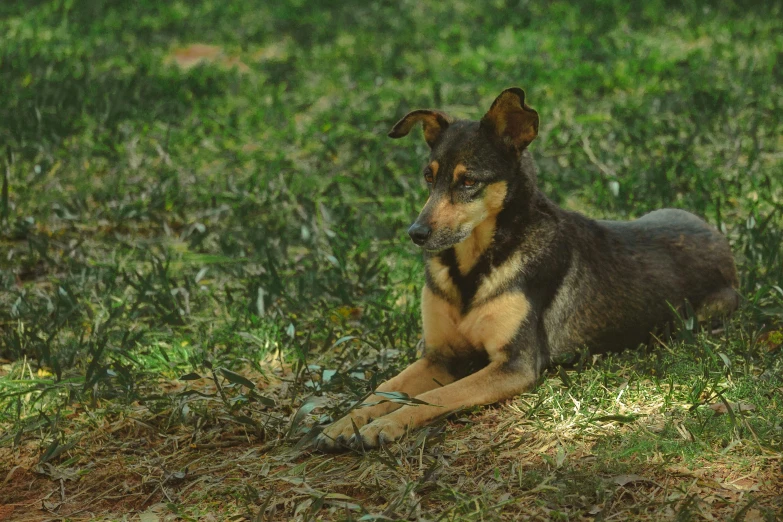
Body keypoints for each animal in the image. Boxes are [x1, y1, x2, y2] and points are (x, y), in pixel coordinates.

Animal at [314, 87, 740, 448]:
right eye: (428, 177)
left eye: (468, 181)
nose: (416, 234)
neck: (474, 265)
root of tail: (717, 235)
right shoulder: (440, 356)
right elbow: (380, 390)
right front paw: (344, 422)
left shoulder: (512, 365)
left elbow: (435, 396)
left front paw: (383, 425)